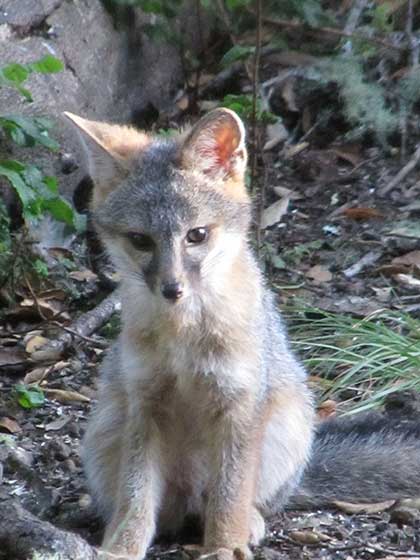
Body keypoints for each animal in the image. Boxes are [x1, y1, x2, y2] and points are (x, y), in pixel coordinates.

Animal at [65, 109, 420, 560]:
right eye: (140, 241)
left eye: (196, 235)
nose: (172, 289)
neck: (184, 335)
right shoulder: (144, 403)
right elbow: (136, 497)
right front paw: (121, 548)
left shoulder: (240, 404)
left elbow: (229, 495)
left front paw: (224, 546)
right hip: (109, 423)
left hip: (284, 425)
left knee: (239, 501)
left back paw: (249, 524)